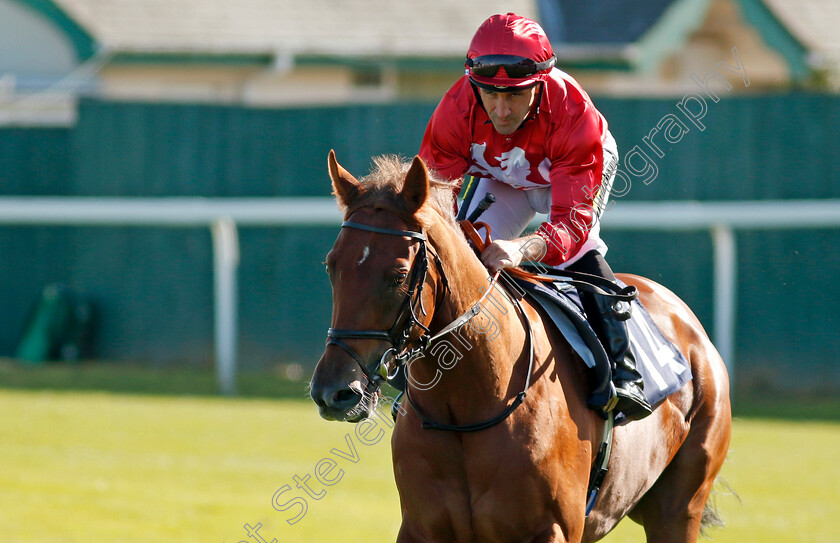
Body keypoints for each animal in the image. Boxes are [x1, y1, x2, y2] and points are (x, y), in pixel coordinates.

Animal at [312, 152, 732, 543]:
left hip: (679, 507)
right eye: (332, 265)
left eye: (399, 274)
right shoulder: (420, 528)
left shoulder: (554, 530)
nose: (334, 392)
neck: (465, 408)